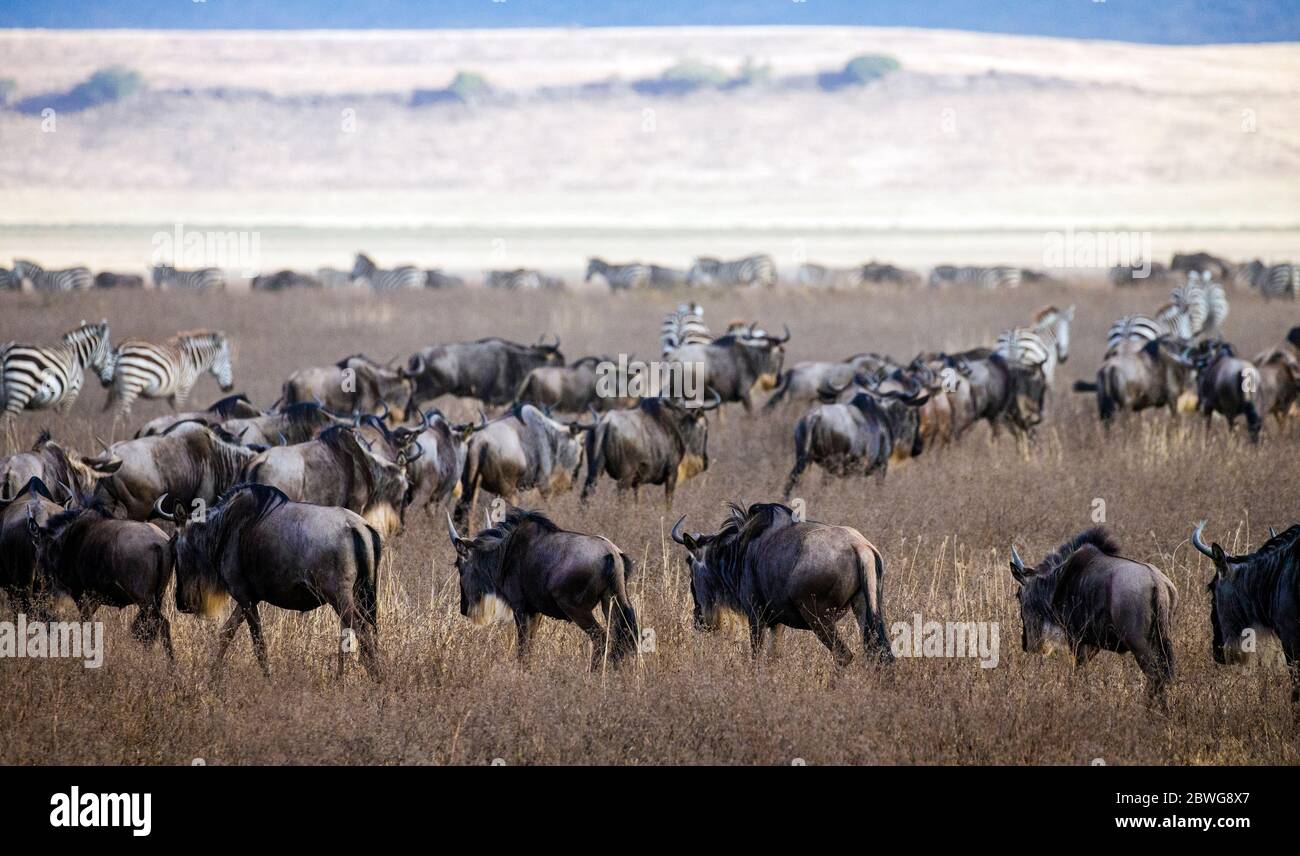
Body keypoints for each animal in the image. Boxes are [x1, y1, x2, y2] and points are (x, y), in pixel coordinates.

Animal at [105, 327, 235, 418]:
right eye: (229, 361)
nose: (230, 388)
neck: (192, 360)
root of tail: (122, 347)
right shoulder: (183, 388)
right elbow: (179, 411)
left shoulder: (172, 394)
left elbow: (174, 413)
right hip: (132, 383)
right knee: (118, 414)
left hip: (120, 386)